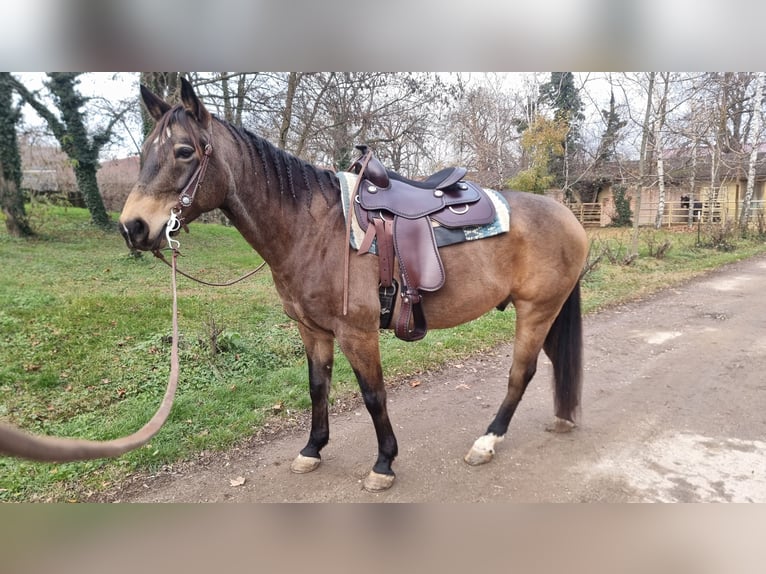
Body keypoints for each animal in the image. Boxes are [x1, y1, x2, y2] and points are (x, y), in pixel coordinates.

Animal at [118, 78, 589, 492]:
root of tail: (569, 217)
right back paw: (562, 417)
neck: (313, 230)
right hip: (545, 311)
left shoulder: (357, 332)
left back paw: (487, 441)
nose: (132, 227)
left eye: (184, 151)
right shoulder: (313, 330)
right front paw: (312, 449)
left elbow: (373, 394)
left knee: (521, 373)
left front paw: (383, 464)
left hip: (537, 310)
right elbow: (317, 387)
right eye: (144, 152)